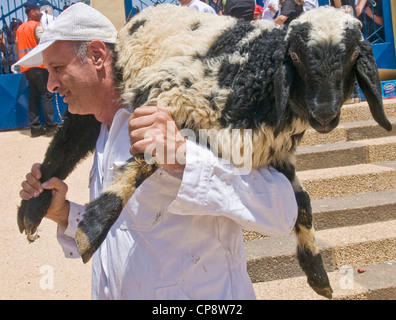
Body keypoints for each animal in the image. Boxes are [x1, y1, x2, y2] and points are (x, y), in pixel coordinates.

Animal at [17, 5, 392, 300]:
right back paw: (32, 208)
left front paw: (316, 273)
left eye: (354, 57)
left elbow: (300, 202)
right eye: (297, 57)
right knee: (69, 138)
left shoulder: (272, 155)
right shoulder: (168, 90)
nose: (324, 114)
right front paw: (92, 227)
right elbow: (146, 161)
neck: (258, 77)